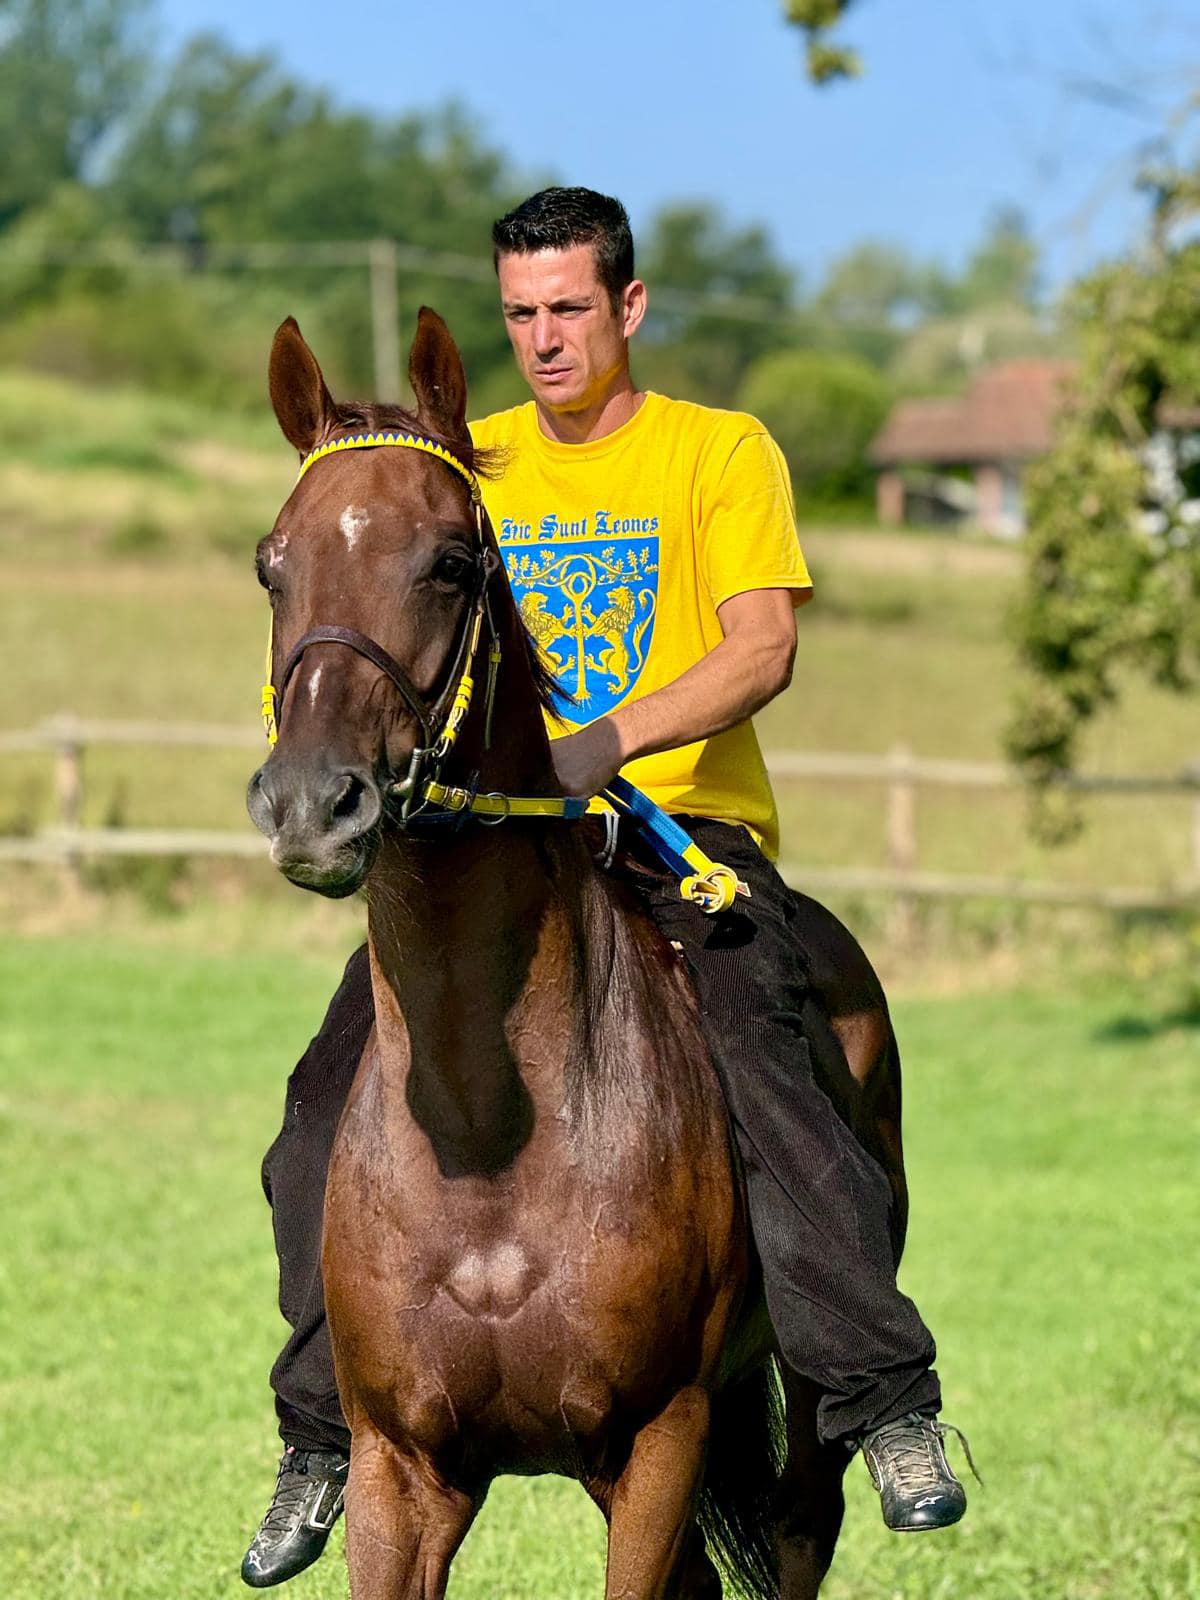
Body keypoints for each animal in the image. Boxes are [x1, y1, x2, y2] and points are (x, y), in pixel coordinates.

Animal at [249, 312, 908, 1600]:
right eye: (272, 563)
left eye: (454, 561)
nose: (312, 803)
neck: (489, 1142)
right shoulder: (404, 1470)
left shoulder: (657, 1442)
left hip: (794, 1421)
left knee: (807, 1516)